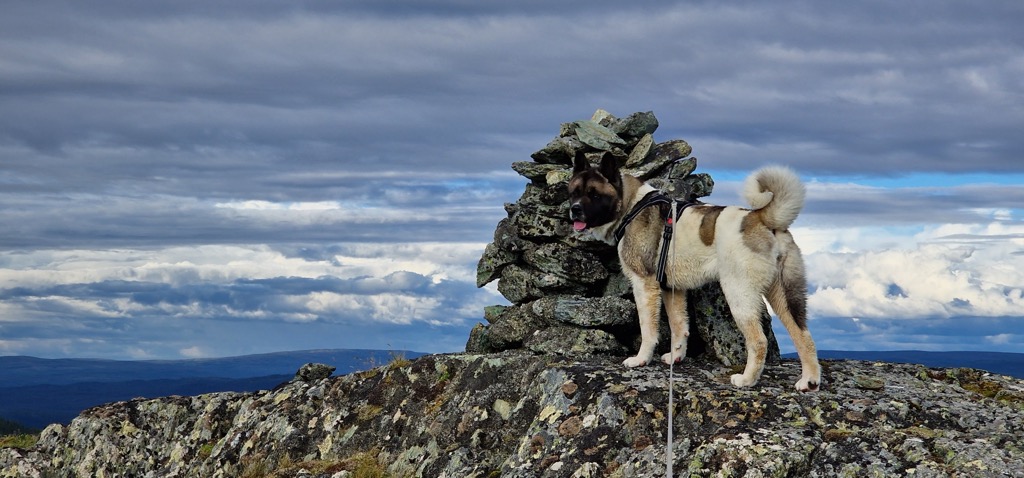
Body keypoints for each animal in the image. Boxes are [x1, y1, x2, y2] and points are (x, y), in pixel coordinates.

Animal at [573, 154, 819, 393]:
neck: (632, 205)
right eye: (573, 191)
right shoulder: (672, 289)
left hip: (738, 293)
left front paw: (641, 359)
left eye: (594, 194)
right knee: (803, 335)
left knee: (759, 341)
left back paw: (747, 380)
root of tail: (763, 218)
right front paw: (676, 356)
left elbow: (648, 329)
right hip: (784, 296)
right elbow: (679, 326)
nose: (574, 209)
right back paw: (809, 381)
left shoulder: (644, 284)